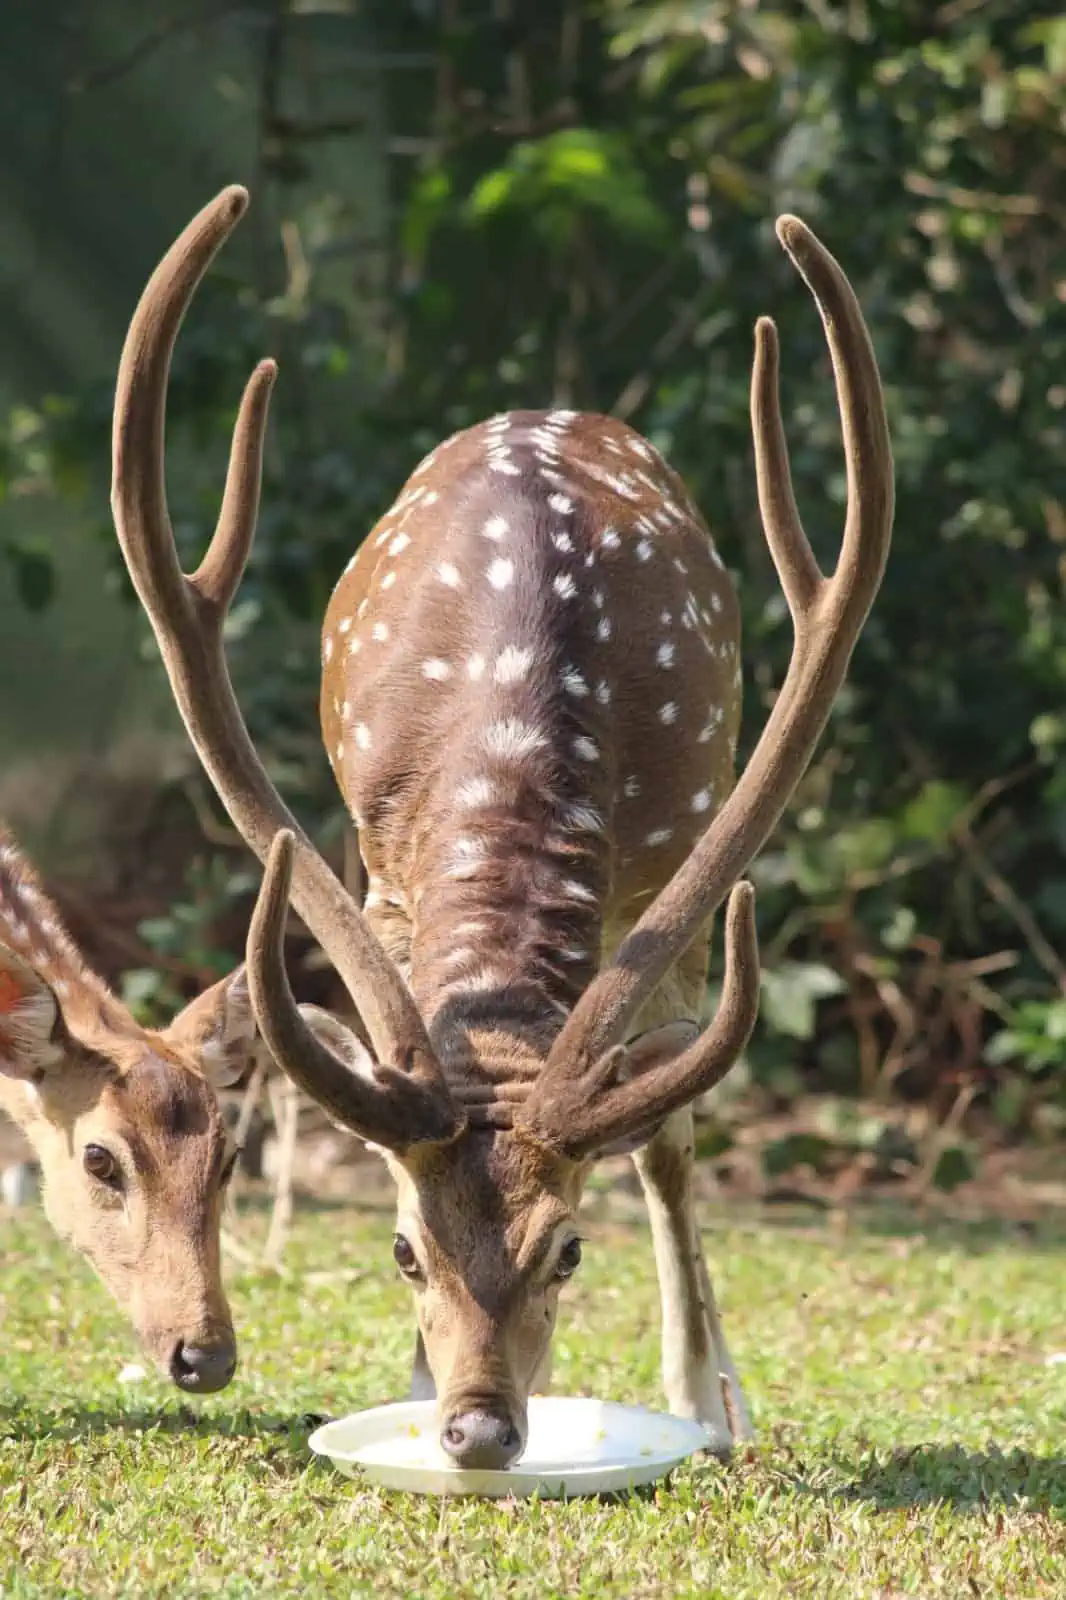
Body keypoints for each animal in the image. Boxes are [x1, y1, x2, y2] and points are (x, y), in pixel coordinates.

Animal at [110, 186, 892, 1469]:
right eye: (401, 1247)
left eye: (567, 1249)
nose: (476, 1427)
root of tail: (547, 409)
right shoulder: (382, 872)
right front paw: (408, 1379)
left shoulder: (668, 869)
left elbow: (668, 1134)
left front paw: (705, 1396)